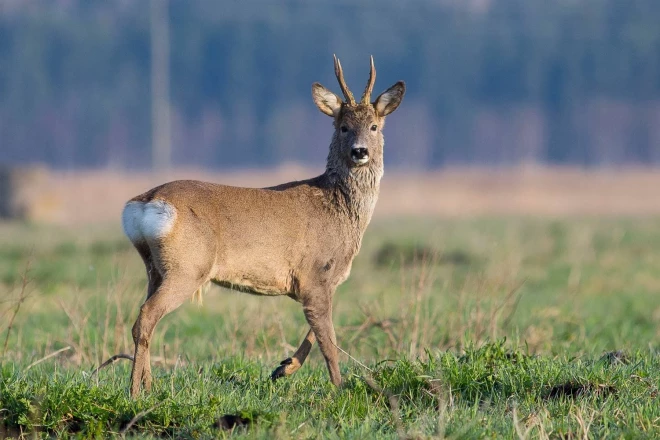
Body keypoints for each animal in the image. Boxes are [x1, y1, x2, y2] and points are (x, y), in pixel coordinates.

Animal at [121, 55, 404, 396]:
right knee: (146, 316)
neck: (339, 209)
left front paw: (284, 368)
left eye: (374, 126)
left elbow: (315, 331)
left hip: (155, 268)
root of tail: (144, 203)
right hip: (187, 267)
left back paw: (148, 385)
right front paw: (340, 387)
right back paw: (136, 391)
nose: (359, 151)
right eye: (344, 126)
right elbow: (328, 338)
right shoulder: (314, 272)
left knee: (144, 317)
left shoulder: (321, 282)